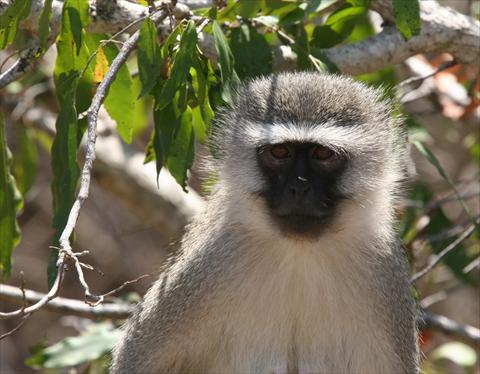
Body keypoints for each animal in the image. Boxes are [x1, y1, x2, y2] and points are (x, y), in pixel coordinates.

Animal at [110, 73, 418, 374]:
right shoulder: (205, 265)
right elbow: (135, 360)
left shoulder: (384, 272)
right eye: (280, 153)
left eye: (322, 154)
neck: (298, 252)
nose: (299, 188)